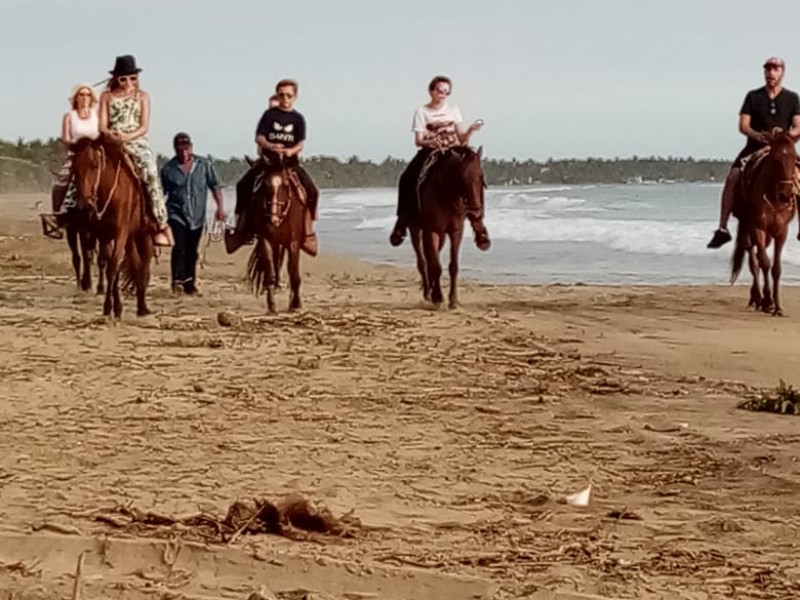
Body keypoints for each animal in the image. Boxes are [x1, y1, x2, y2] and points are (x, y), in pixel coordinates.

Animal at [72, 134, 155, 316]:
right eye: (74, 168)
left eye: (94, 165)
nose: (84, 206)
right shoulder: (104, 235)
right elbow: (112, 266)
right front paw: (116, 307)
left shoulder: (120, 232)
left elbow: (113, 266)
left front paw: (108, 306)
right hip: (130, 239)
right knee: (136, 264)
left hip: (143, 234)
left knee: (144, 266)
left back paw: (143, 306)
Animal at [242, 162, 308, 312]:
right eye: (265, 185)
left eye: (286, 185)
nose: (273, 219)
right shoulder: (265, 240)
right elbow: (269, 272)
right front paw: (271, 305)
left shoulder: (293, 243)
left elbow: (294, 274)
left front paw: (296, 304)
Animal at [410, 146, 484, 310]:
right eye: (462, 177)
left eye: (481, 176)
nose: (476, 209)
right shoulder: (432, 231)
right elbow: (436, 266)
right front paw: (438, 298)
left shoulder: (456, 232)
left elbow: (453, 266)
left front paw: (453, 300)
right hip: (416, 230)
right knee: (422, 260)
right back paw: (428, 292)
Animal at [728, 133, 796, 316]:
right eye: (776, 159)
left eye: (795, 159)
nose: (786, 194)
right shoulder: (758, 228)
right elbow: (764, 262)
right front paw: (768, 301)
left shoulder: (781, 231)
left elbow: (776, 268)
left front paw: (778, 306)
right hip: (748, 229)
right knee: (754, 261)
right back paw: (756, 299)